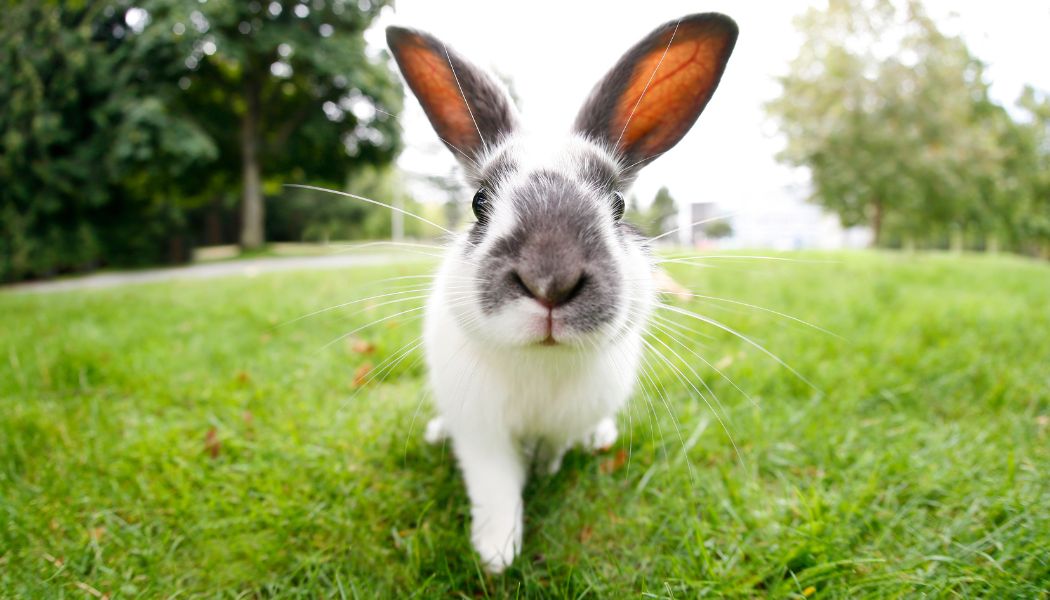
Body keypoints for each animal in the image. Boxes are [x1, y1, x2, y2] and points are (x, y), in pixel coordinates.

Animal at [385, 12, 738, 573]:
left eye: (618, 204)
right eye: (479, 202)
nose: (549, 280)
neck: (541, 362)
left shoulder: (562, 424)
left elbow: (551, 452)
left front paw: (544, 476)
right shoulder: (482, 434)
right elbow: (497, 488)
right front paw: (496, 554)